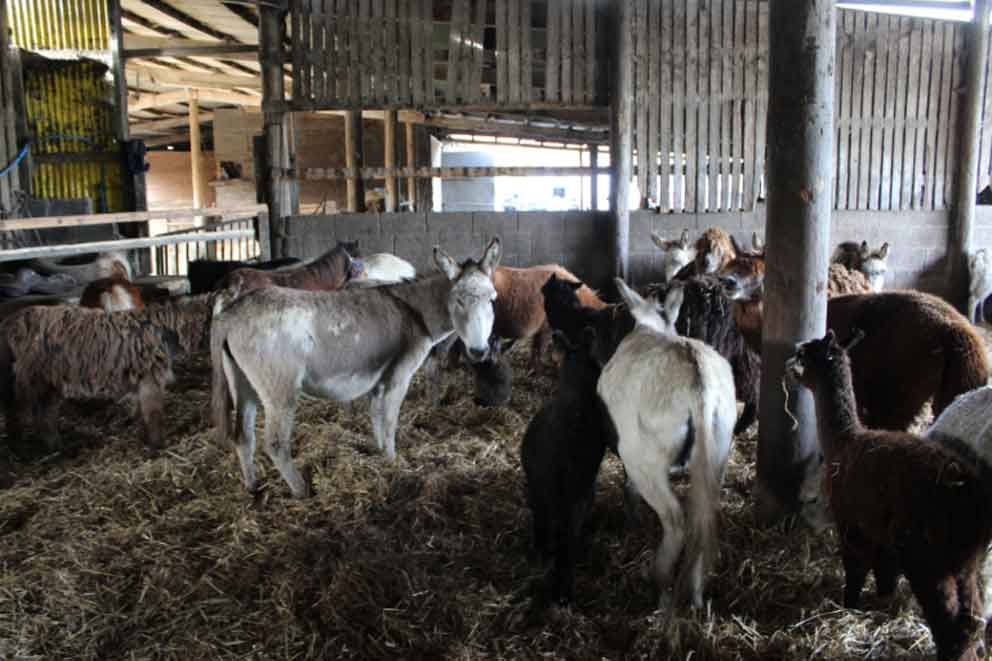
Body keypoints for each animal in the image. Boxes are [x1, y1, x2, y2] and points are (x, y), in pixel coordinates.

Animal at [0, 295, 213, 449]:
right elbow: (154, 415)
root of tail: (10, 323)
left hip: (47, 381)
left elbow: (142, 413)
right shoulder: (150, 378)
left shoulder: (141, 381)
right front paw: (158, 446)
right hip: (27, 379)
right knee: (16, 413)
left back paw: (55, 446)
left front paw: (144, 438)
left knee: (43, 415)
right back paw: (17, 447)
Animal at [211, 238, 502, 498]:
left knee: (244, 436)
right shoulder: (399, 377)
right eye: (458, 300)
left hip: (243, 384)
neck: (413, 311)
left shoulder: (379, 377)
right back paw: (301, 490)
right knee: (275, 444)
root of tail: (230, 314)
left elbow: (376, 416)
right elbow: (389, 420)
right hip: (279, 391)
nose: (479, 352)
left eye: (492, 300)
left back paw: (253, 487)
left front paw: (379, 450)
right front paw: (392, 461)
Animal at [521, 327, 607, 606]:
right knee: (568, 537)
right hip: (575, 492)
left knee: (542, 524)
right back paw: (564, 591)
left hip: (537, 488)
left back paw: (539, 558)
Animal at [598, 279, 736, 609]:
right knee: (704, 516)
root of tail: (698, 382)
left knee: (676, 519)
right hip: (717, 456)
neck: (651, 326)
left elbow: (628, 488)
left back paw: (658, 580)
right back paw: (696, 595)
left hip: (645, 462)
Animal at [787, 330, 992, 661]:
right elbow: (884, 573)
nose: (788, 363)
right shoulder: (881, 529)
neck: (845, 441)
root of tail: (970, 496)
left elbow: (856, 569)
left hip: (928, 554)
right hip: (965, 559)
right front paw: (882, 603)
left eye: (804, 353)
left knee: (947, 615)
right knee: (972, 616)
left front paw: (848, 606)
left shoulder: (851, 522)